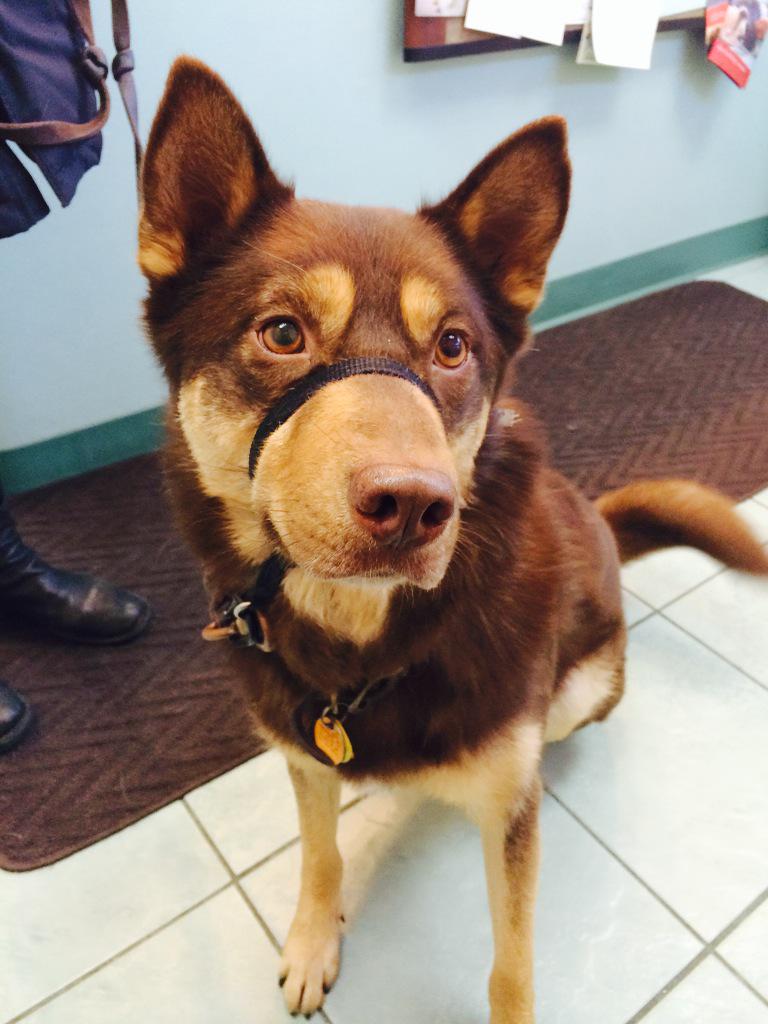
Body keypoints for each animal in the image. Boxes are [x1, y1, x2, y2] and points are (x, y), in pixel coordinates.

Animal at [138, 58, 768, 1022]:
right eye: (281, 332)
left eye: (452, 347)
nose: (411, 507)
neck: (361, 643)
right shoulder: (302, 755)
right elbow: (318, 853)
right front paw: (314, 937)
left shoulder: (509, 813)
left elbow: (511, 960)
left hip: (581, 692)